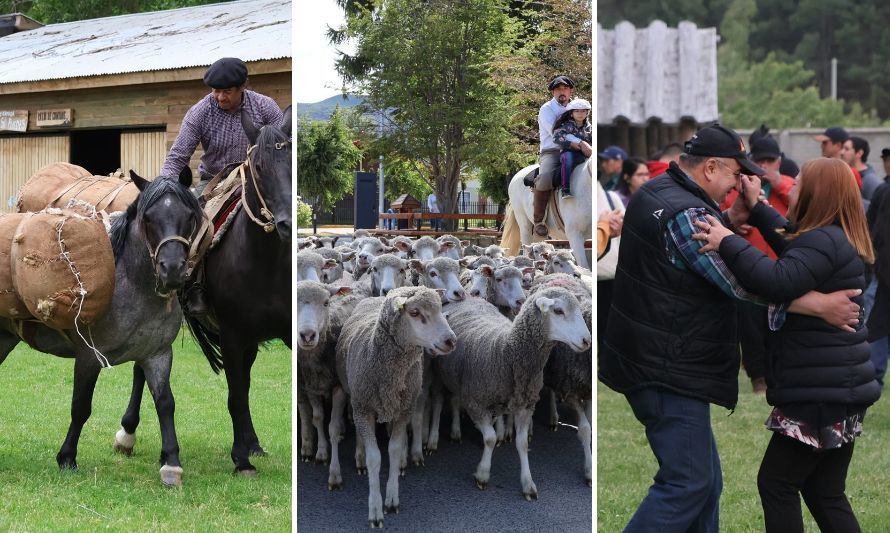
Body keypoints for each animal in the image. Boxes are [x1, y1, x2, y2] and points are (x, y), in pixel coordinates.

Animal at [0, 171, 199, 486]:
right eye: (148, 218)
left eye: (190, 216)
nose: (172, 270)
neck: (134, 288)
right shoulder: (88, 357)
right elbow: (81, 406)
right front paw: (67, 457)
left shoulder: (157, 355)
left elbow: (166, 403)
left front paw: (171, 464)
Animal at [117, 105, 292, 474]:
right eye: (258, 166)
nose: (286, 223)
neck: (266, 261)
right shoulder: (232, 334)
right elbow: (236, 396)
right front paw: (241, 460)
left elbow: (245, 389)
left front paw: (247, 448)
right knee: (142, 368)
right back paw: (127, 433)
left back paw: (252, 442)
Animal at [294, 280, 350, 464]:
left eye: (326, 302)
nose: (307, 335)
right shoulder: (311, 387)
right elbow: (317, 418)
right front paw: (321, 452)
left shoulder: (339, 387)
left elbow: (332, 424)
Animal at [328, 284, 458, 524]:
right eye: (414, 312)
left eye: (440, 307)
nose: (451, 341)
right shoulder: (364, 407)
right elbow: (375, 458)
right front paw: (375, 509)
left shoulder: (403, 410)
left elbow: (395, 451)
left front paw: (392, 498)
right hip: (348, 391)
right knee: (336, 429)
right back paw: (339, 472)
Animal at [432, 286, 588, 498]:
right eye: (558, 311)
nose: (587, 340)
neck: (506, 351)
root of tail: (466, 296)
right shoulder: (475, 403)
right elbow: (489, 439)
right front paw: (483, 474)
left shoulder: (525, 406)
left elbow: (522, 444)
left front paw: (528, 484)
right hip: (443, 376)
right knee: (444, 402)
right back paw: (445, 435)